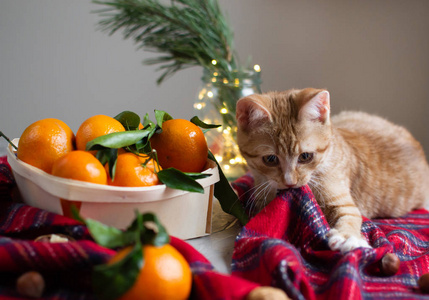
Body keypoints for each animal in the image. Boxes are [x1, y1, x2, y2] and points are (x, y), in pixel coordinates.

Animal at [236, 88, 426, 253]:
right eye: (270, 159)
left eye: (305, 156)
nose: (290, 182)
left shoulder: (343, 203)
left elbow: (349, 215)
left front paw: (347, 236)